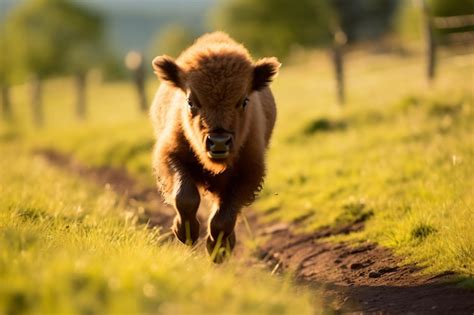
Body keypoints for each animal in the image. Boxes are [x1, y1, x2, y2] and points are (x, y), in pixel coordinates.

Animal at [150, 31, 280, 264]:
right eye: (191, 101)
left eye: (244, 101)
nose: (218, 142)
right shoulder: (169, 156)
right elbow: (185, 197)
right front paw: (186, 233)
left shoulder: (249, 174)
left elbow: (224, 217)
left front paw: (217, 250)